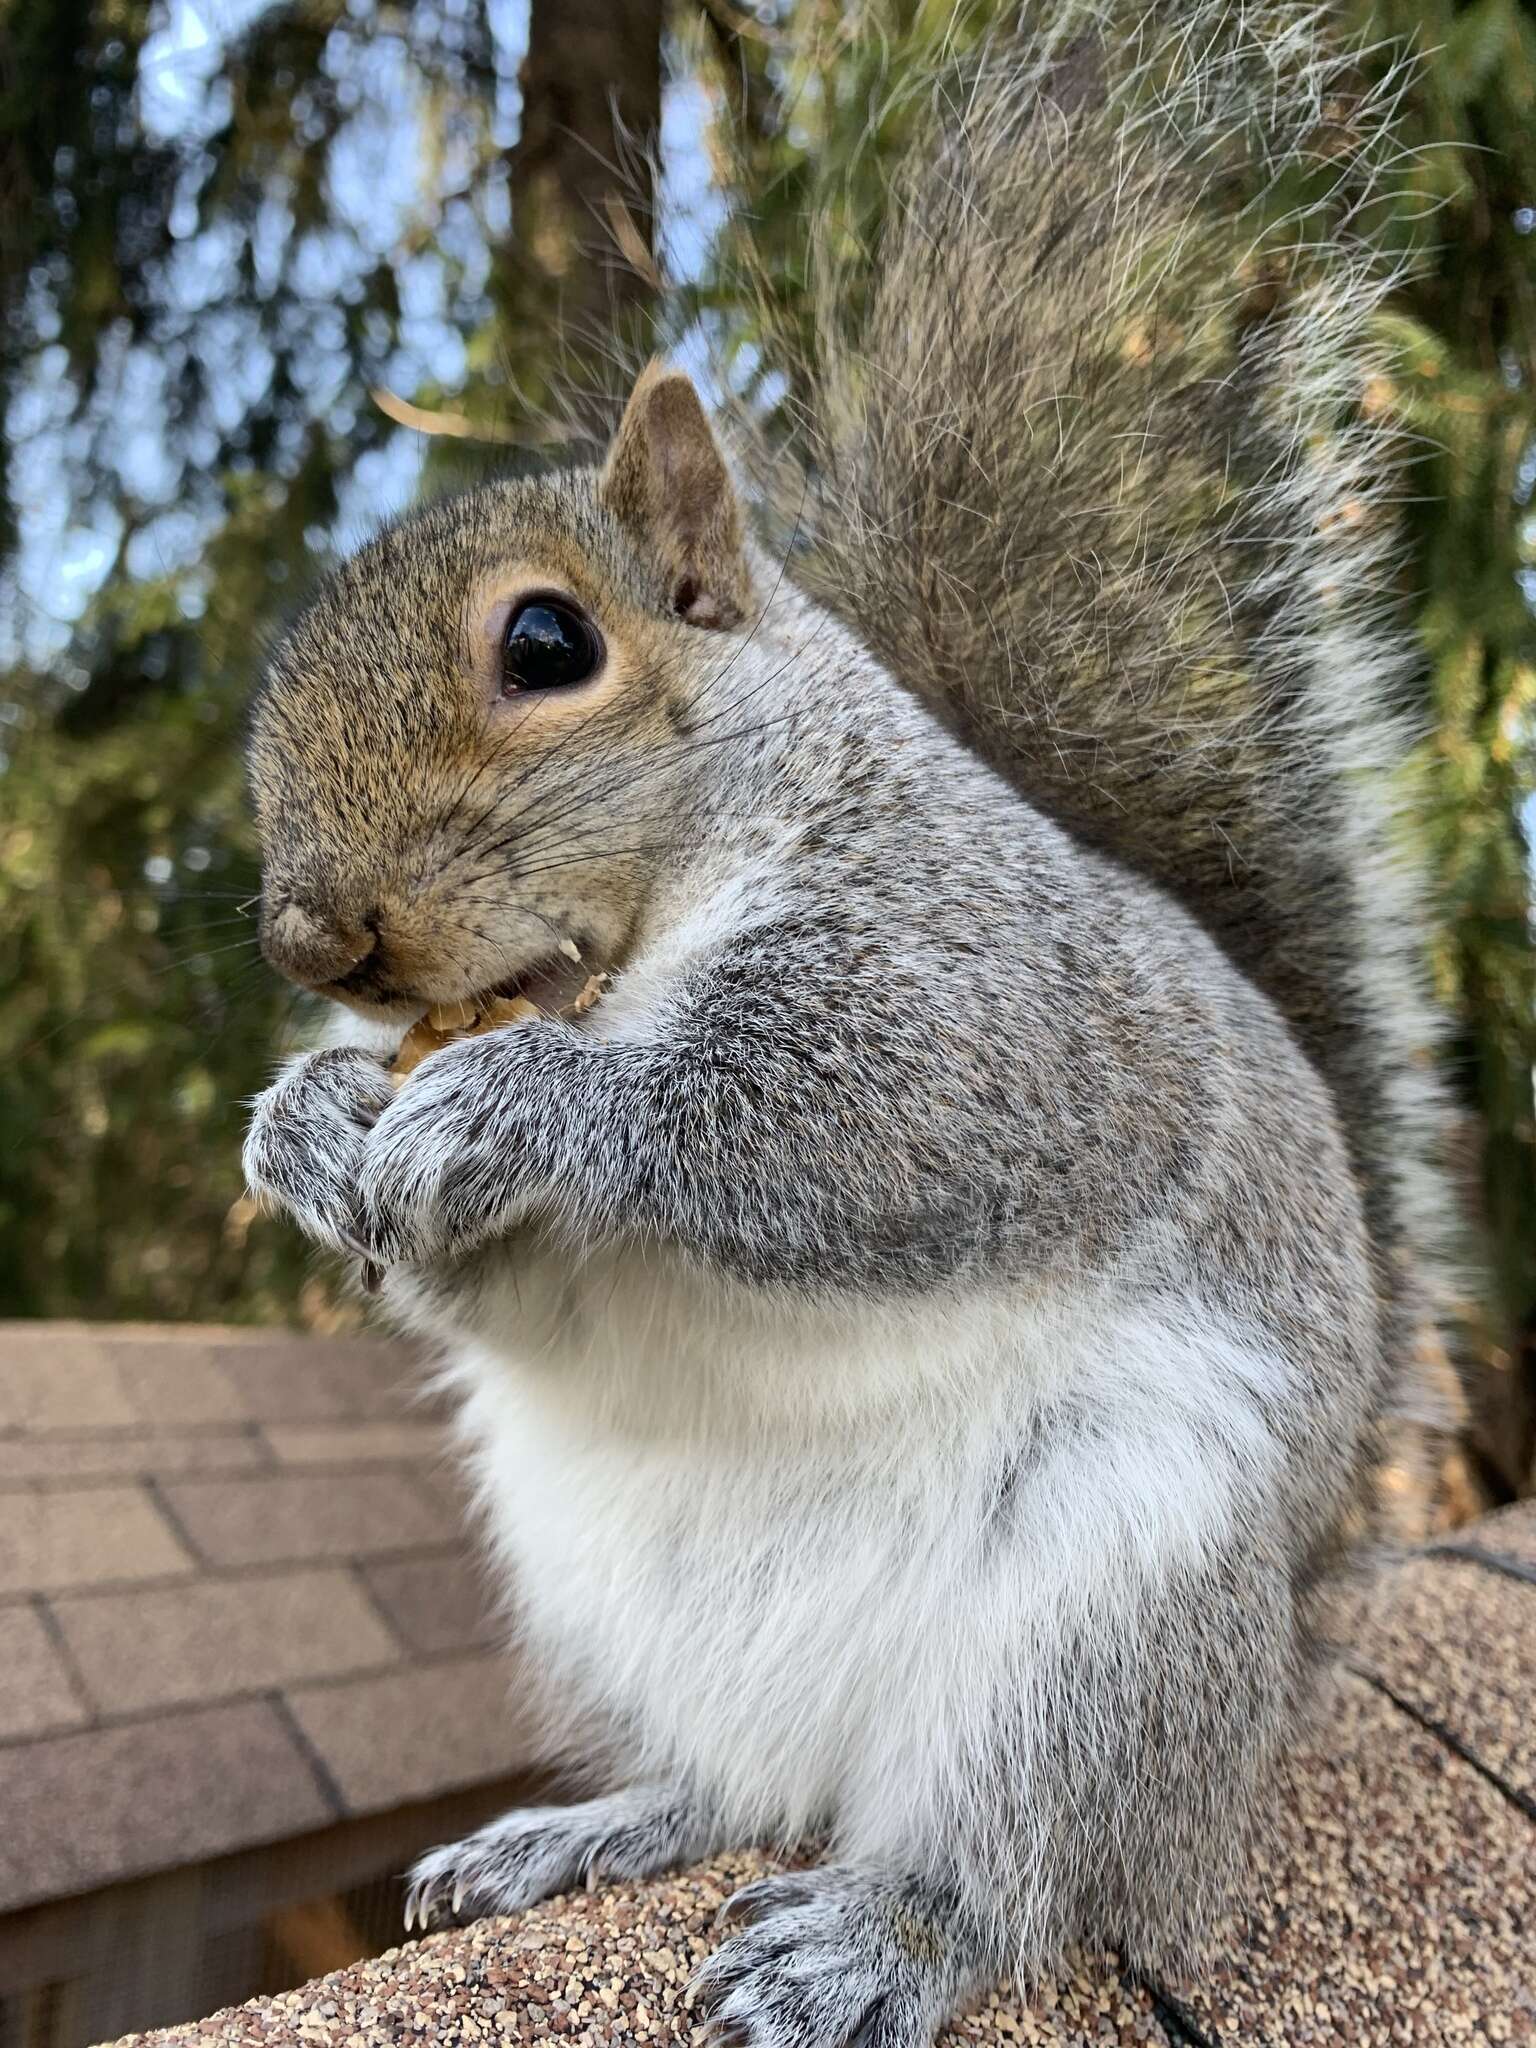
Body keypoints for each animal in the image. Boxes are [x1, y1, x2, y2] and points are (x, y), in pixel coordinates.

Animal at [243, 8, 1458, 2039]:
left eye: (549, 644)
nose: (311, 935)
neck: (649, 941)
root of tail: (1274, 1651)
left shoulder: (988, 995)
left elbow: (847, 1127)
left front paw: (530, 1106)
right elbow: (496, 1288)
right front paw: (305, 1126)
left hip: (1107, 1611)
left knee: (1027, 1860)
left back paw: (876, 1936)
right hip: (608, 1599)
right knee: (743, 1786)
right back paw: (593, 1827)